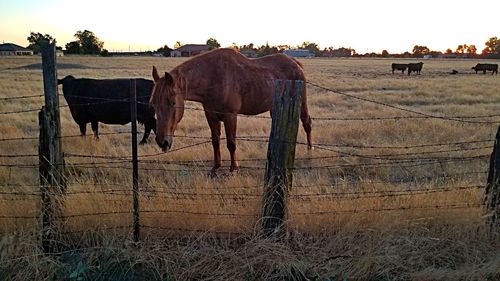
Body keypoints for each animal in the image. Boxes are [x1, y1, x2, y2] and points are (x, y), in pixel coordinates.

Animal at [149, 48, 312, 175]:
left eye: (173, 103)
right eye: (153, 104)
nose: (162, 142)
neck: (213, 79)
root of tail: (295, 63)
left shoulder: (230, 116)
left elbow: (231, 143)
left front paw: (233, 169)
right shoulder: (211, 116)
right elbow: (215, 141)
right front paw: (215, 168)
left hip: (302, 102)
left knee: (307, 123)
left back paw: (309, 153)